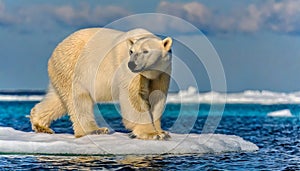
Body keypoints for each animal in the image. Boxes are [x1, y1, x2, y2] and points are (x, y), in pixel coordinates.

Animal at [29, 28, 173, 140]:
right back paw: (95, 130)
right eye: (131, 51)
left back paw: (40, 124)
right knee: (78, 99)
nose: (132, 64)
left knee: (58, 100)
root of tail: (55, 51)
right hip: (73, 67)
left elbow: (157, 96)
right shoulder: (129, 71)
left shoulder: (163, 72)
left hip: (62, 72)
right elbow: (133, 98)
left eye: (146, 51)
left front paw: (162, 131)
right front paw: (152, 134)